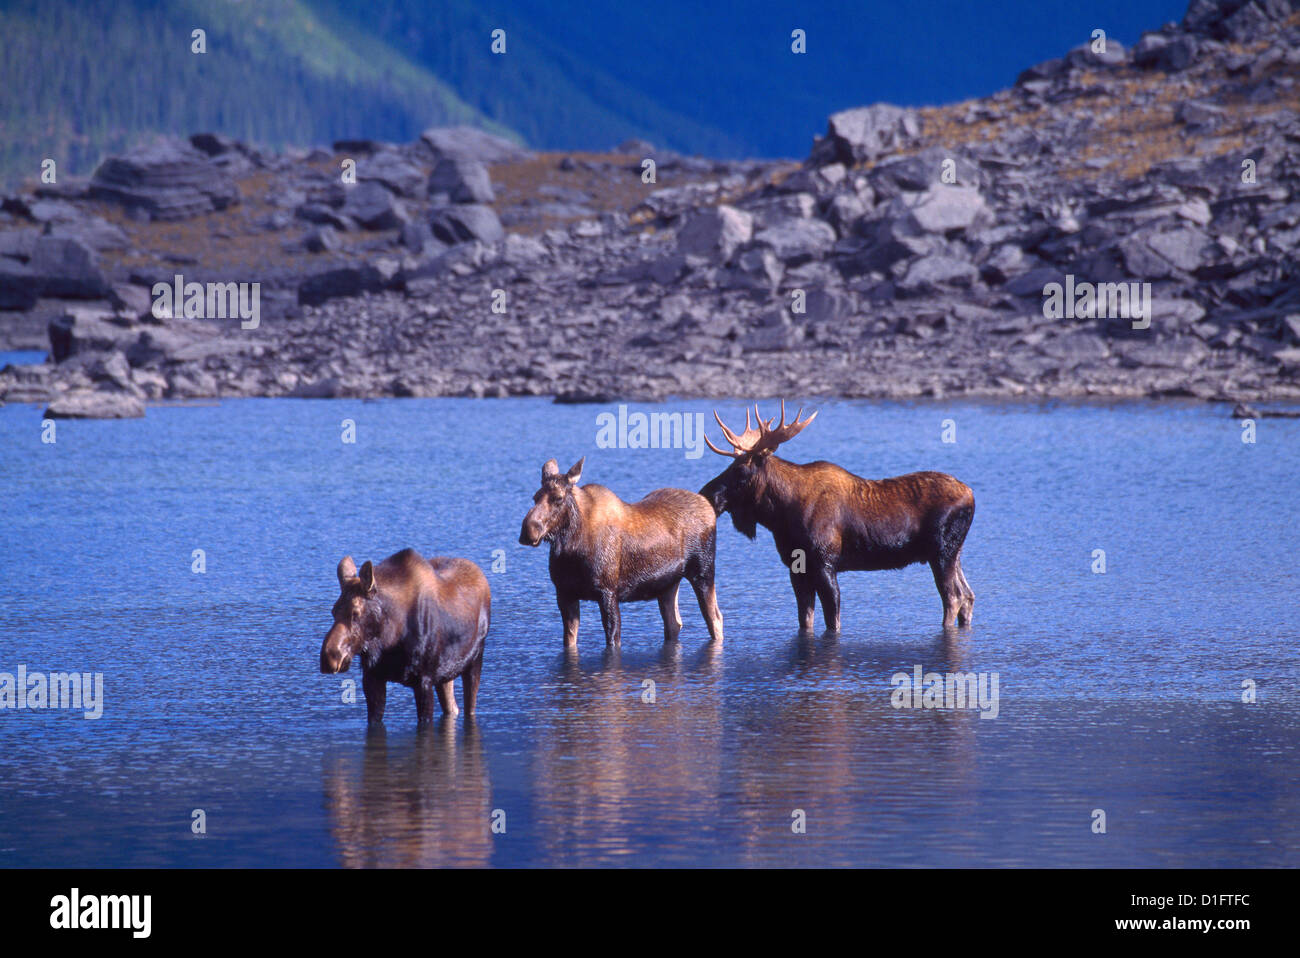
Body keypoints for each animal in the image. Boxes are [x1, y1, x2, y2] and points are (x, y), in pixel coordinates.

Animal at [319, 548, 491, 722]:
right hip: (446, 673)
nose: (330, 657)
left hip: (475, 659)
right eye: (333, 611)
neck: (390, 638)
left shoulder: (424, 680)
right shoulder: (372, 678)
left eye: (355, 613)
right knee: (452, 707)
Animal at [514, 454, 722, 647]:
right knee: (674, 623)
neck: (571, 549)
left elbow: (613, 639)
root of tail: (708, 506)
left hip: (703, 572)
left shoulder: (608, 592)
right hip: (668, 584)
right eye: (535, 497)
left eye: (558, 498)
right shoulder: (564, 593)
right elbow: (569, 640)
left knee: (716, 619)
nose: (528, 531)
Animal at [702, 402, 977, 631]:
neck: (780, 516)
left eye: (740, 471)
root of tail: (971, 495)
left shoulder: (826, 563)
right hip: (954, 552)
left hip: (941, 551)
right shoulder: (796, 568)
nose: (707, 494)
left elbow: (833, 620)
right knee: (968, 595)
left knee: (953, 597)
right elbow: (805, 620)